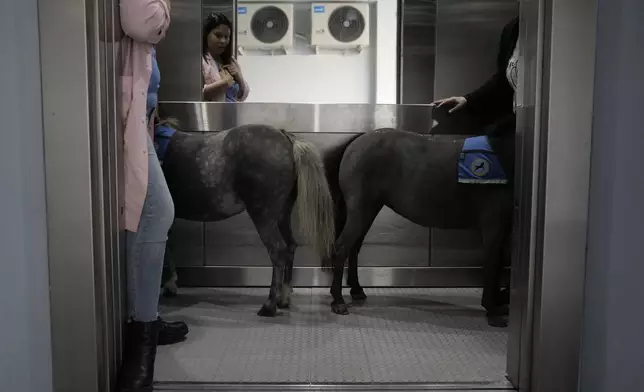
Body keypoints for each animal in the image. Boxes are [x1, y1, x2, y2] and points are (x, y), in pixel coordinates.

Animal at [158, 121, 334, 316]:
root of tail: (285, 138)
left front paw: (168, 284)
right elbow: (168, 242)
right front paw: (170, 283)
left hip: (263, 215)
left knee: (278, 251)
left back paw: (269, 305)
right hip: (281, 214)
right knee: (290, 246)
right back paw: (284, 298)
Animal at [324, 113, 516, 328]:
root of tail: (356, 142)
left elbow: (499, 262)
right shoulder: (493, 224)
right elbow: (493, 263)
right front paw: (493, 310)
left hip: (368, 211)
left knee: (354, 248)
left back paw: (356, 290)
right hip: (361, 210)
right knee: (341, 248)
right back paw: (338, 301)